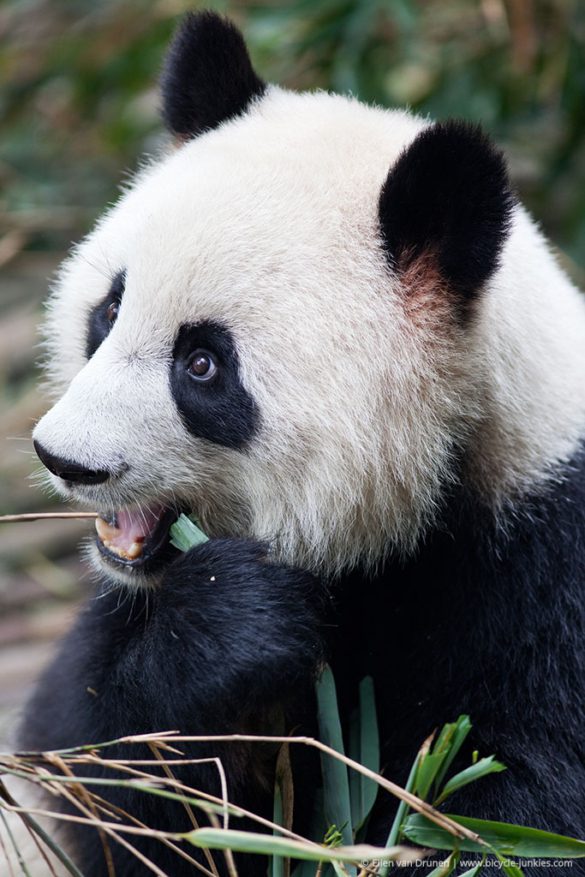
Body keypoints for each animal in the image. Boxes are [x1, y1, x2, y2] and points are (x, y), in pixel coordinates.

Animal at [20, 8, 584, 876]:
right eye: (107, 312)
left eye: (203, 364)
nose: (65, 459)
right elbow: (96, 770)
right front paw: (233, 622)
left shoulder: (546, 572)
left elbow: (517, 812)